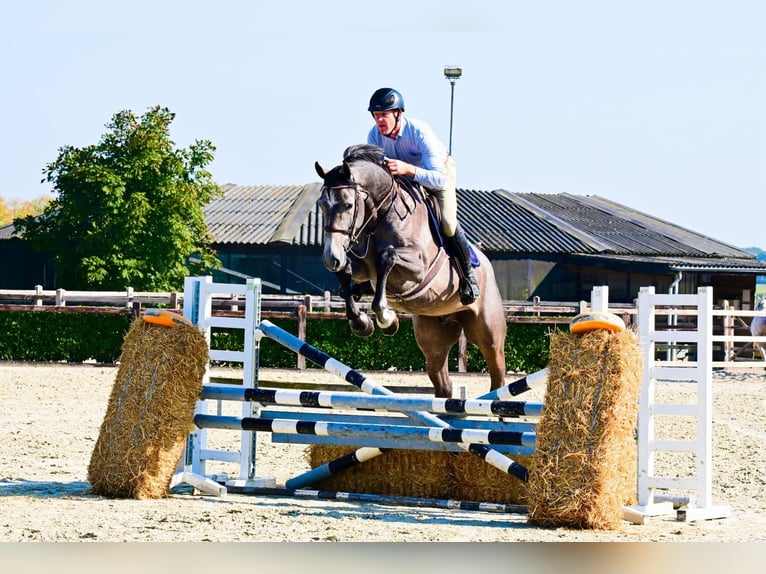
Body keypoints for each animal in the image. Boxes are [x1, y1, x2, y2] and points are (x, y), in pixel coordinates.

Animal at [316, 143, 512, 400]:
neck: (380, 217)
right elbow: (345, 276)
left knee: (497, 375)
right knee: (442, 382)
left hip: (488, 334)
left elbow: (386, 258)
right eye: (321, 204)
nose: (330, 257)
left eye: (348, 205)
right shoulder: (358, 265)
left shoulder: (418, 269)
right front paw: (361, 322)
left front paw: (386, 318)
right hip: (433, 340)